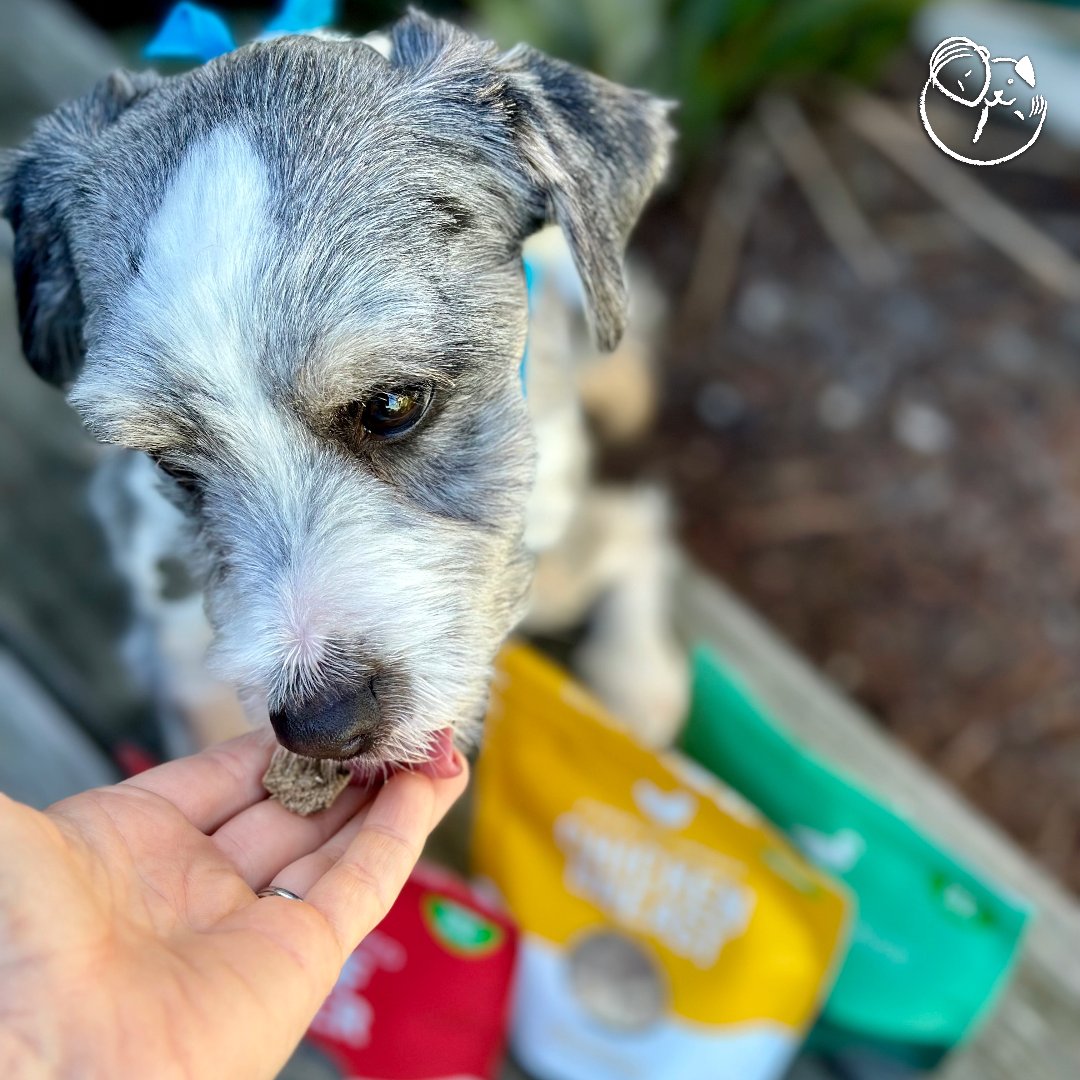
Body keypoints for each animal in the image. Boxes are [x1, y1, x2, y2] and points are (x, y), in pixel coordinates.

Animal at [2, 12, 673, 773]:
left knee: (635, 523)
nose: (324, 725)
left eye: (393, 405)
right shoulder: (176, 645)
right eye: (170, 464)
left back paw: (639, 674)